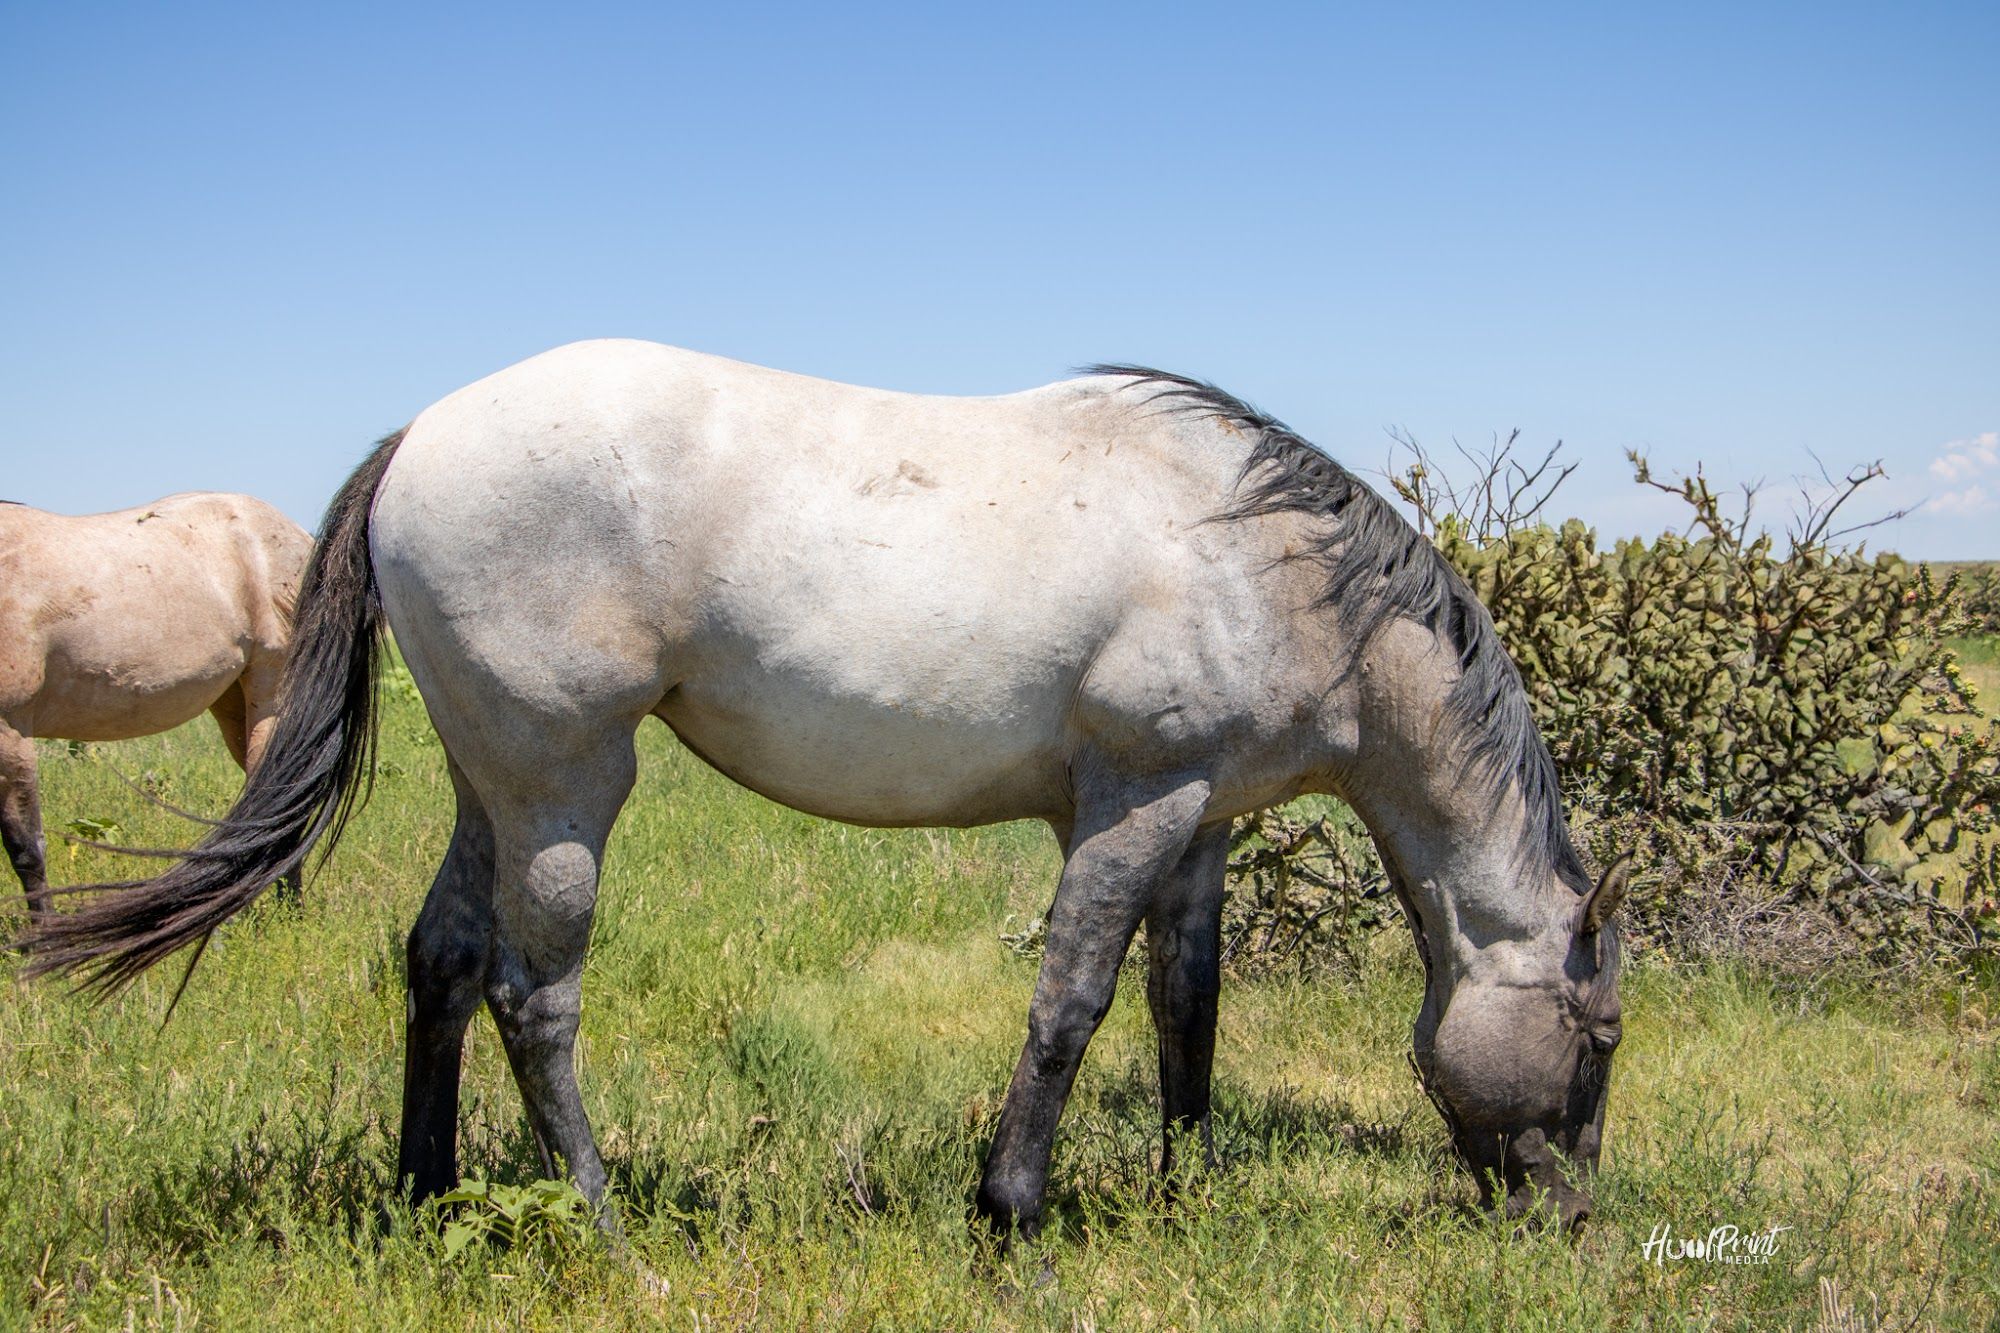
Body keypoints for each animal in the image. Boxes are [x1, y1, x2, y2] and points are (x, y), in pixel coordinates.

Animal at [1, 493, 313, 921]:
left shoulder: (10, 731)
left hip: (272, 687)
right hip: (233, 703)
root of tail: (301, 536)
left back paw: (290, 913)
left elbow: (27, 849)